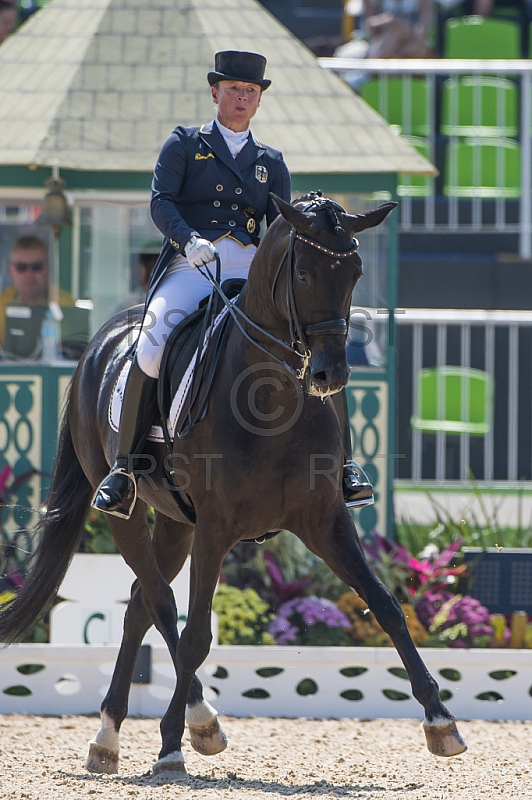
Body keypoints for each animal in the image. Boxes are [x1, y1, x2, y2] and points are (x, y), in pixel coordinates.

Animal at [0, 194, 466, 776]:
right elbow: (197, 633)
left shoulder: (325, 522)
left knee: (139, 603)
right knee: (161, 602)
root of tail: (102, 341)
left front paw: (441, 721)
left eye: (355, 273)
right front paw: (172, 744)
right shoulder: (216, 529)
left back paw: (112, 734)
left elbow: (386, 607)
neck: (272, 398)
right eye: (305, 273)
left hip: (175, 522)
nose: (332, 375)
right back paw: (191, 722)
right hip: (127, 513)